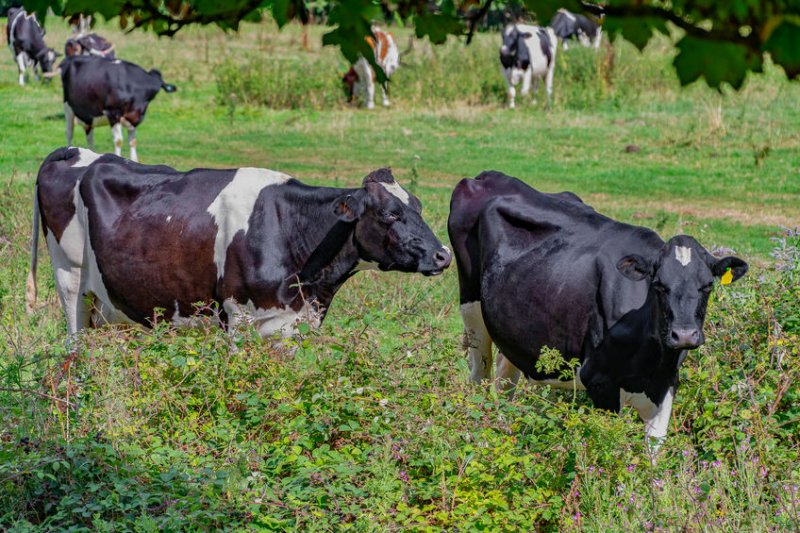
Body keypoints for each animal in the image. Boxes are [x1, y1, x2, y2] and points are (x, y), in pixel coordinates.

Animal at [29, 147, 450, 336]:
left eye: (418, 205)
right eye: (390, 214)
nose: (442, 255)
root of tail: (74, 152)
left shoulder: (292, 322)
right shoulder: (238, 316)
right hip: (70, 282)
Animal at [450, 171, 752, 444]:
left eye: (707, 286)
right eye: (659, 285)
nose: (685, 335)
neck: (650, 356)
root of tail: (487, 176)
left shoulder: (666, 383)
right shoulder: (599, 381)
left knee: (505, 382)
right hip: (472, 311)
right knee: (479, 378)